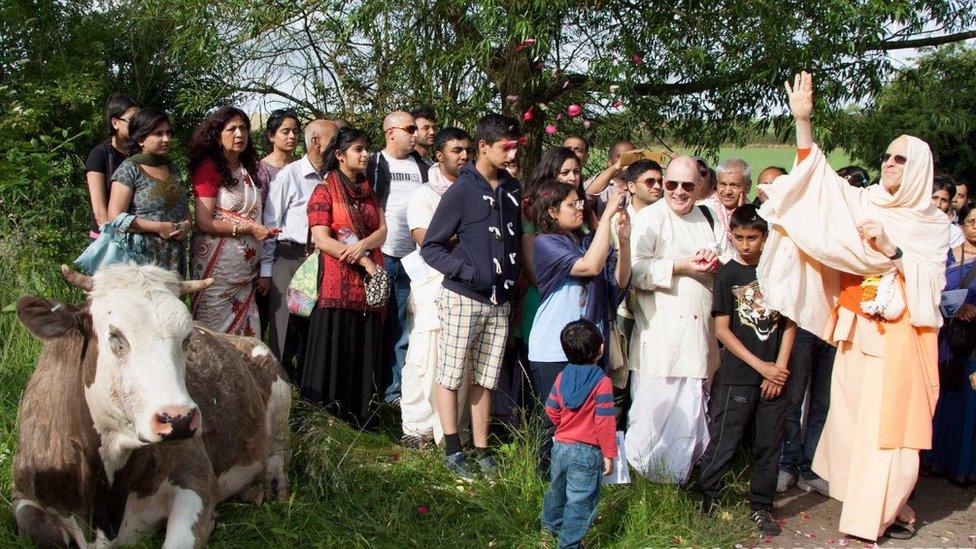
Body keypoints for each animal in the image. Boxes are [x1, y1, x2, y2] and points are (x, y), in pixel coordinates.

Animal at [12, 264, 290, 544]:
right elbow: (38, 528)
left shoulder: (195, 477)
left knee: (277, 449)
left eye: (187, 337)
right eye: (115, 335)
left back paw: (273, 483)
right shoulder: (24, 493)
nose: (179, 419)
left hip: (279, 388)